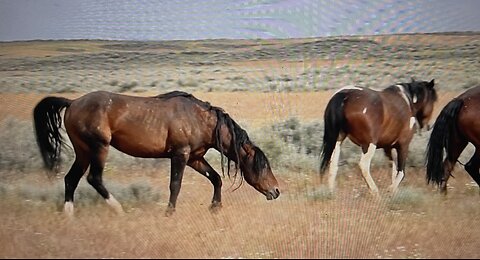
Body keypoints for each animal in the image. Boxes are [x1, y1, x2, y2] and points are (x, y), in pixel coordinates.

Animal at [32, 90, 282, 216]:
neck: (200, 119)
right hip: (98, 148)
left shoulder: (194, 158)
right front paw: (169, 213)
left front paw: (215, 208)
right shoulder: (180, 155)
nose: (276, 191)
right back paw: (120, 210)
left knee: (71, 179)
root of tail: (73, 102)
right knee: (94, 178)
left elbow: (216, 178)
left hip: (83, 152)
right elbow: (175, 185)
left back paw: (69, 216)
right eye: (263, 165)